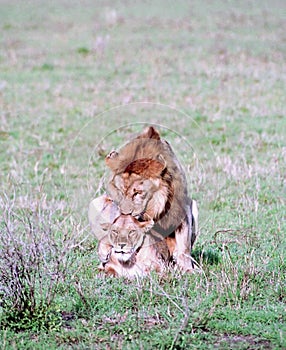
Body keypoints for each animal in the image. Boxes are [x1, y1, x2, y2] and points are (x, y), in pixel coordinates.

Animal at [105, 126, 199, 270]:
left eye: (137, 193)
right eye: (121, 192)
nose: (125, 214)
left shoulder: (182, 210)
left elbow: (184, 247)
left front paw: (188, 269)